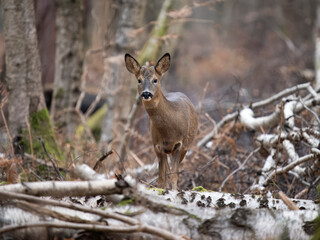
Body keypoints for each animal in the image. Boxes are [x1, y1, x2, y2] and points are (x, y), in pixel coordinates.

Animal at [124, 52, 198, 189]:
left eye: (155, 80)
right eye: (139, 80)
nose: (146, 93)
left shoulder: (180, 143)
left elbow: (174, 175)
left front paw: (174, 190)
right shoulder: (157, 145)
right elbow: (161, 176)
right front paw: (162, 189)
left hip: (186, 144)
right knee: (166, 169)